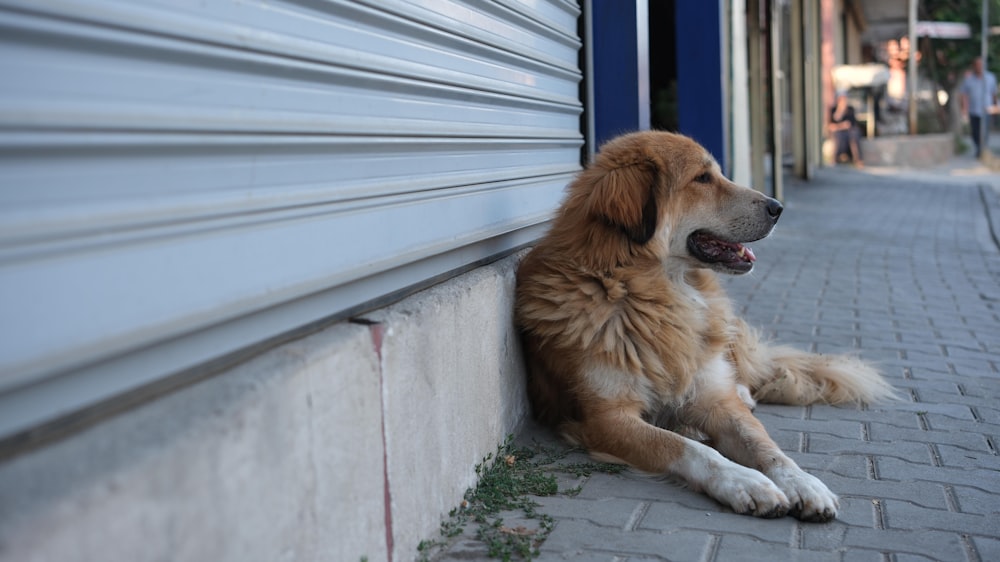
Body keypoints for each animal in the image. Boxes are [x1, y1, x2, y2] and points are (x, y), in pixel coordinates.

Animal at [516, 131, 892, 520]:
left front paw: (802, 482)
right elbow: (687, 448)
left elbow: (765, 445)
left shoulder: (714, 401)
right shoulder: (607, 418)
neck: (650, 293)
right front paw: (746, 482)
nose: (777, 207)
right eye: (702, 178)